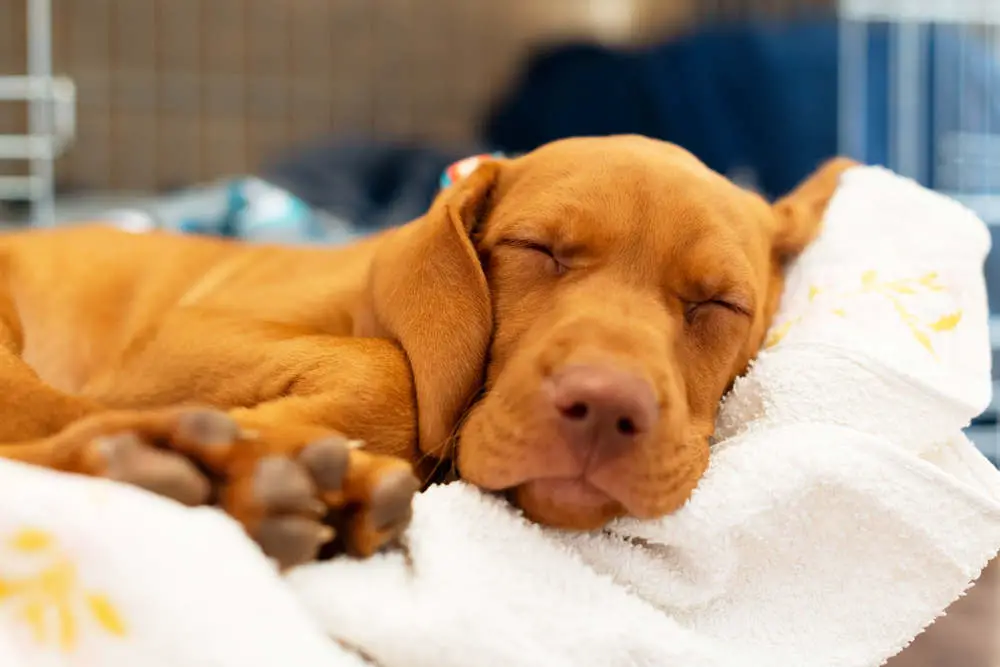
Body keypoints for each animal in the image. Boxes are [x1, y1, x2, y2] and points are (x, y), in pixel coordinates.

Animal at [0, 138, 852, 568]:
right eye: (537, 249)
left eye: (719, 303)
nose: (606, 405)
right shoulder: (170, 343)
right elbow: (389, 373)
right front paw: (279, 436)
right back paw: (202, 464)